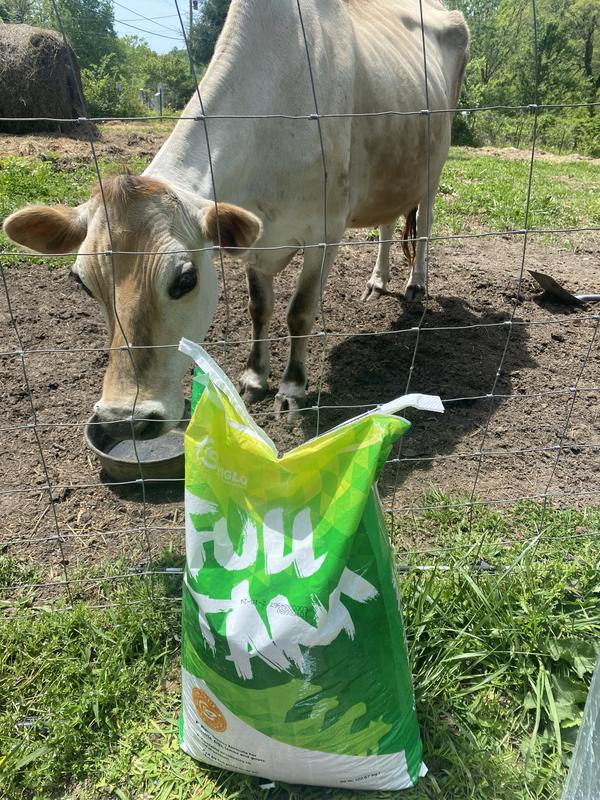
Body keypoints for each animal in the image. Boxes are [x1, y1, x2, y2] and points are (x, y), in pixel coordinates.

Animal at [3, 0, 469, 434]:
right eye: (81, 283)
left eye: (185, 280)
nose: (122, 420)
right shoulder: (251, 236)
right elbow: (259, 308)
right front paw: (254, 377)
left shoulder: (326, 230)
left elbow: (299, 311)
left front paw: (292, 388)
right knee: (388, 221)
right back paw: (377, 281)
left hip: (435, 162)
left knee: (424, 224)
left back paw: (414, 284)